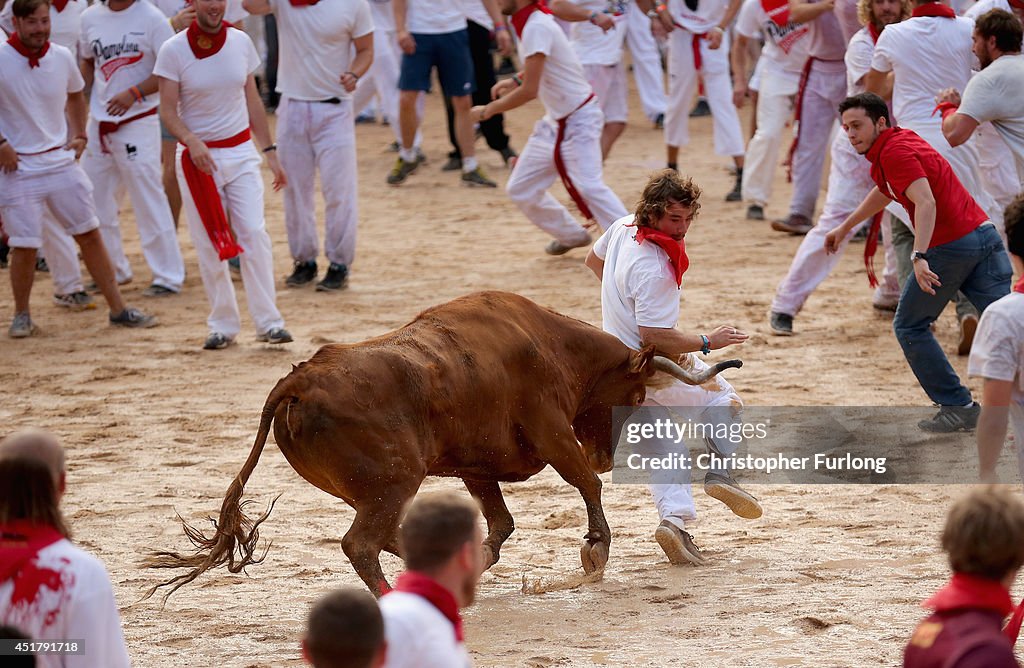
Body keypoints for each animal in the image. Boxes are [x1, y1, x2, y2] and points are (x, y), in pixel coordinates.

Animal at [148, 288, 741, 598]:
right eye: (636, 391)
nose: (606, 450)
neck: (547, 342)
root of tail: (298, 380)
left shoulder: (477, 468)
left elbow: (502, 524)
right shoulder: (552, 432)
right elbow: (586, 484)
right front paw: (595, 549)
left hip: (376, 489)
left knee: (384, 537)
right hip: (393, 481)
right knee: (361, 544)